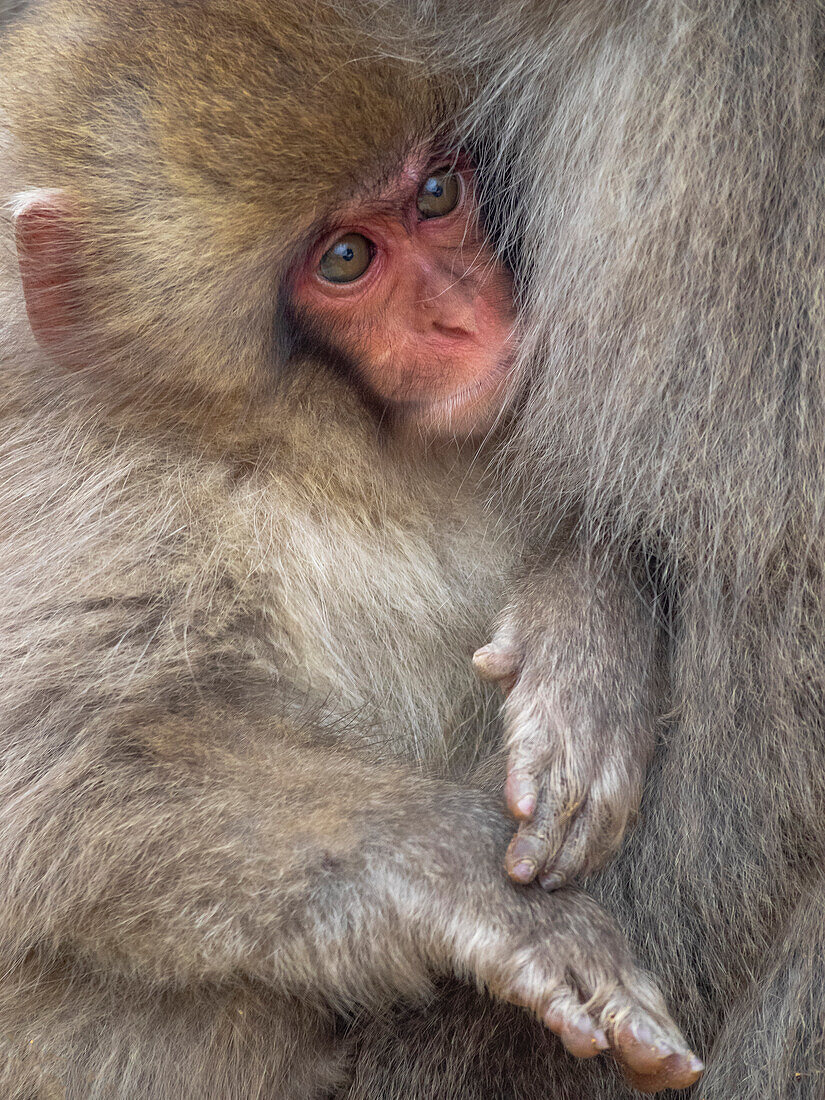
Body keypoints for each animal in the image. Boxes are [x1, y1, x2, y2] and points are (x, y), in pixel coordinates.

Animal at [0, 2, 704, 1100]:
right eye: (344, 259)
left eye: (436, 194)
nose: (462, 311)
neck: (297, 439)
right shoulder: (93, 496)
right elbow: (65, 767)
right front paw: (462, 880)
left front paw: (586, 645)